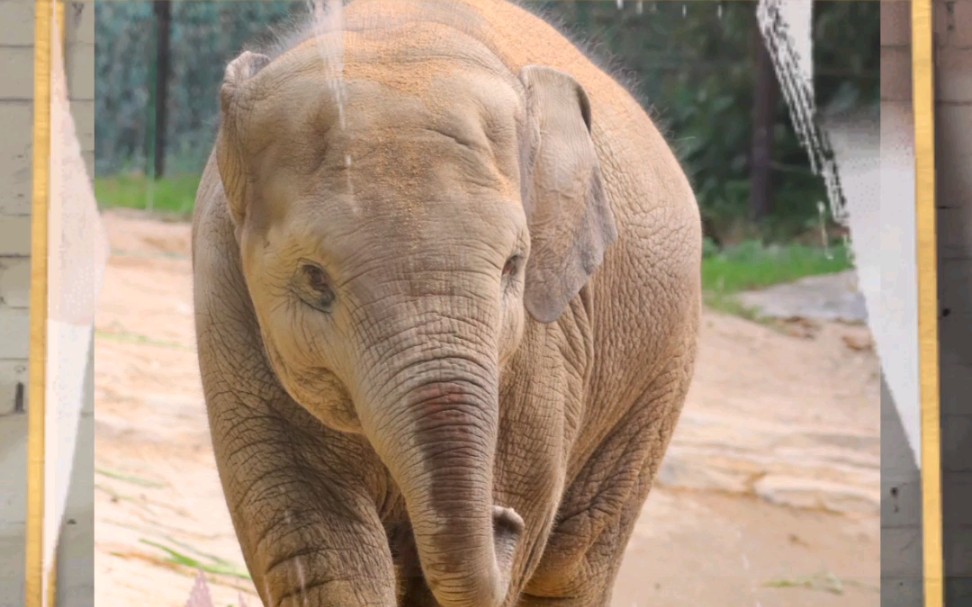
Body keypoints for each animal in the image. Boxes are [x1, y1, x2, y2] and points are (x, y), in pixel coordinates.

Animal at [192, 1, 700, 607]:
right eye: (314, 279)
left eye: (513, 266)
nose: (504, 517)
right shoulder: (224, 296)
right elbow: (318, 548)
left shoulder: (549, 345)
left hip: (661, 374)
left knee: (573, 567)